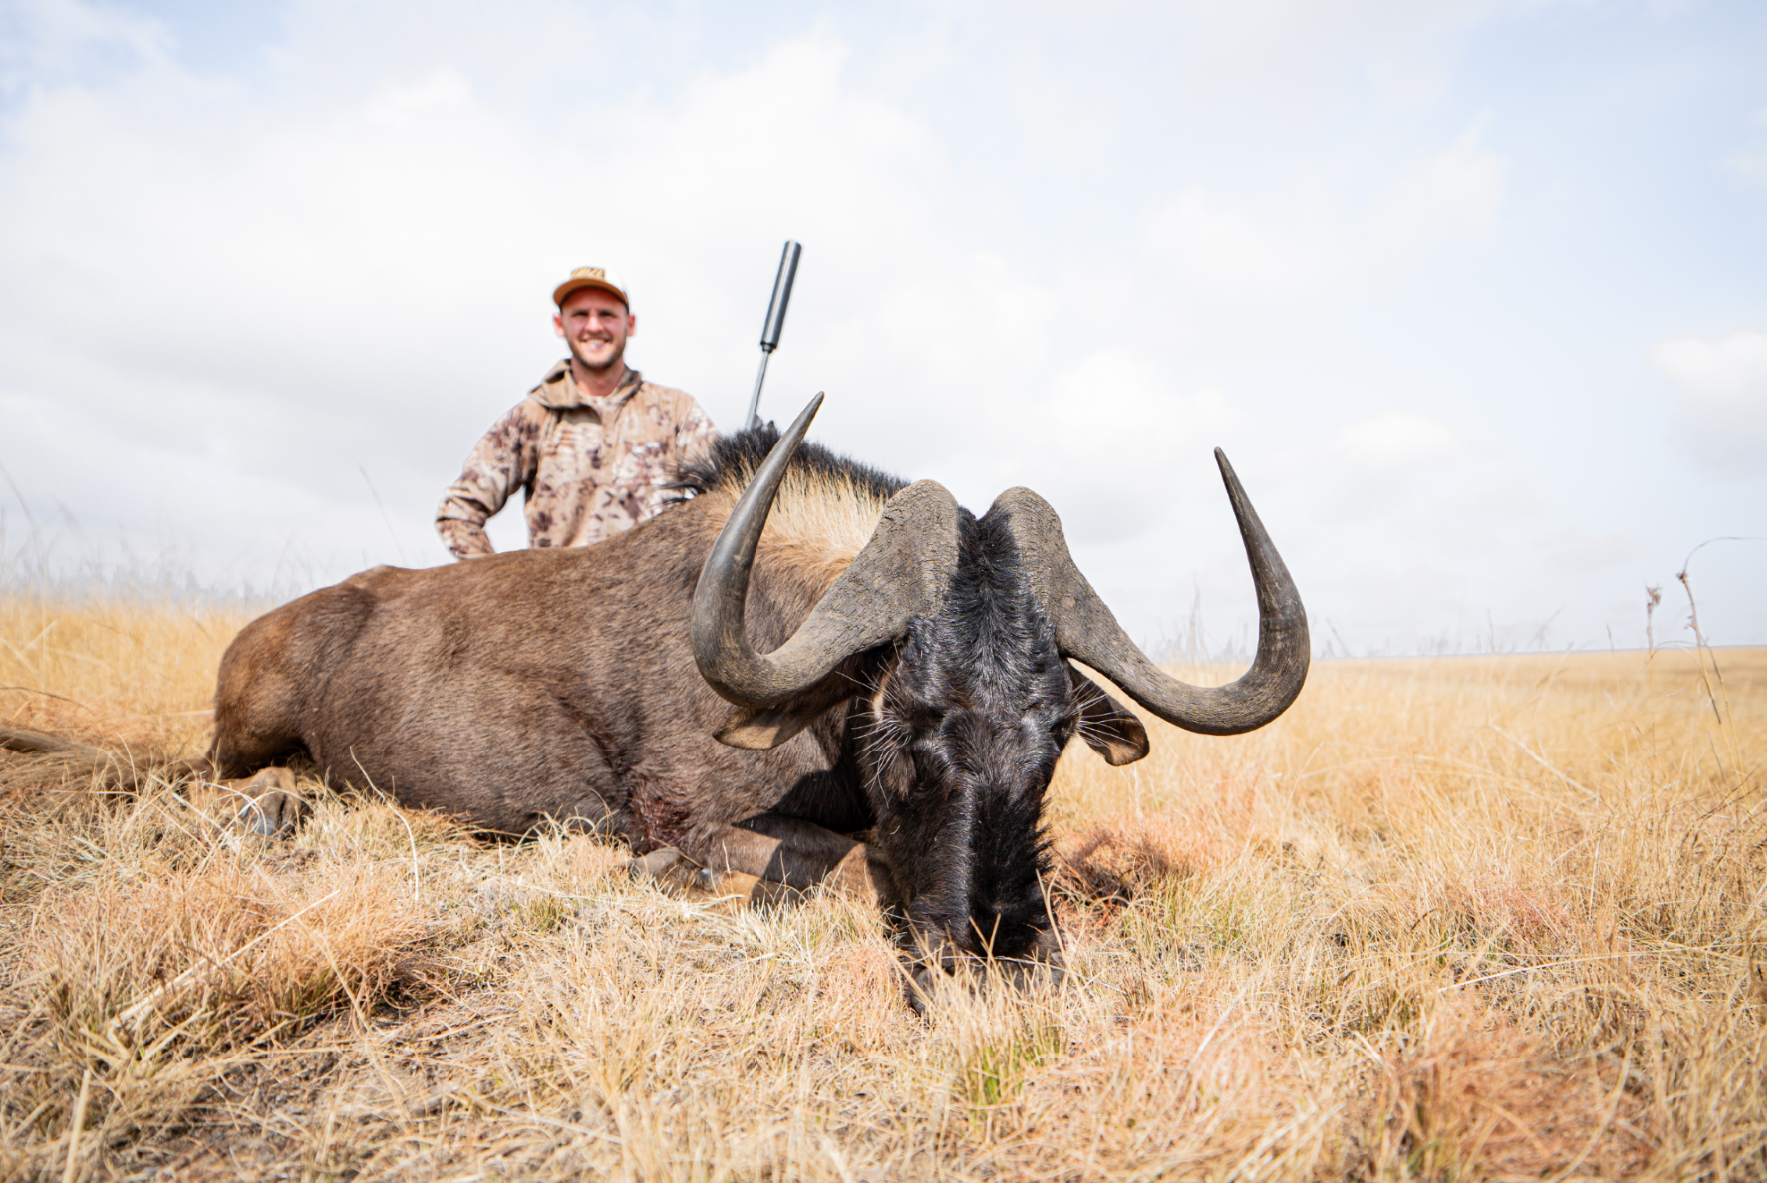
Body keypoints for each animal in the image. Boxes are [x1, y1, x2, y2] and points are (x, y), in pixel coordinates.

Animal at [211, 395, 1308, 995]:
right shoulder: (686, 817)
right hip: (240, 733)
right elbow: (850, 860)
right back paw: (270, 807)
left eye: (1056, 733)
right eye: (899, 719)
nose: (994, 943)